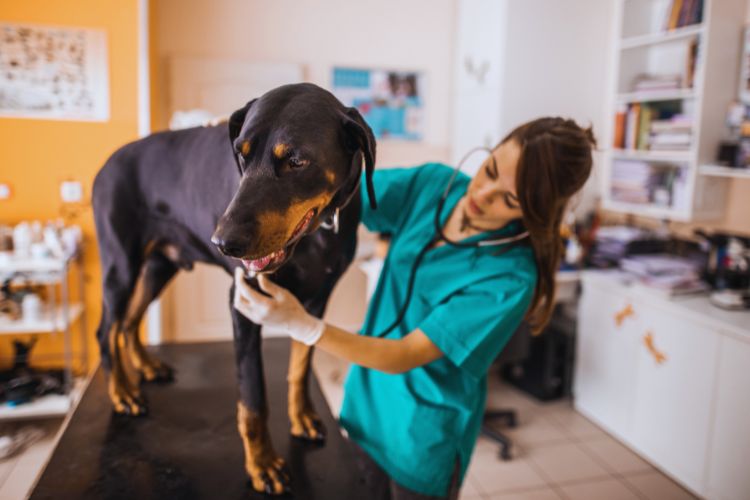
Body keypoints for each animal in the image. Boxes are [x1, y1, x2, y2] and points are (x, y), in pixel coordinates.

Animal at [93, 84, 376, 494]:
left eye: (296, 160)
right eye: (240, 155)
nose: (223, 243)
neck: (314, 236)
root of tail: (106, 165)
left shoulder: (315, 305)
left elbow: (300, 367)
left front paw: (302, 416)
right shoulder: (243, 304)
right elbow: (253, 398)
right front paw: (262, 464)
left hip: (160, 266)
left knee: (130, 321)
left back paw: (146, 367)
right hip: (121, 266)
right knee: (107, 330)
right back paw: (122, 393)